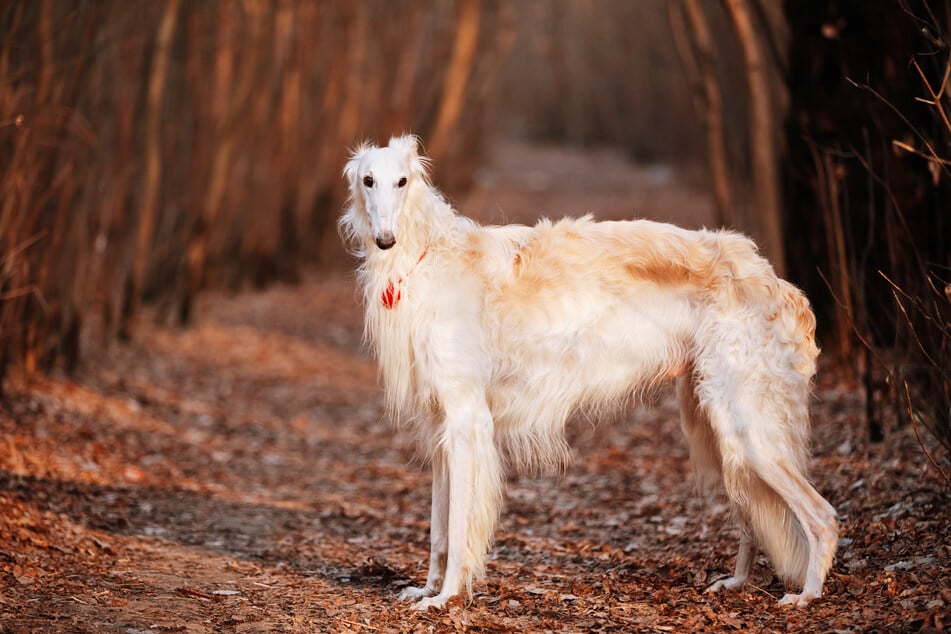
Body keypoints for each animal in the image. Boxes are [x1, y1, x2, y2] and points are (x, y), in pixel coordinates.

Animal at [338, 135, 836, 608]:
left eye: (402, 181)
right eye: (368, 180)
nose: (385, 240)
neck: (426, 258)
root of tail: (779, 283)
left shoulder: (466, 420)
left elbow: (459, 530)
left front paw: (446, 597)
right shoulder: (442, 426)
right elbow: (439, 530)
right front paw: (426, 589)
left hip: (745, 427)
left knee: (823, 516)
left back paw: (808, 594)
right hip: (716, 425)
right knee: (754, 516)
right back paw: (737, 581)